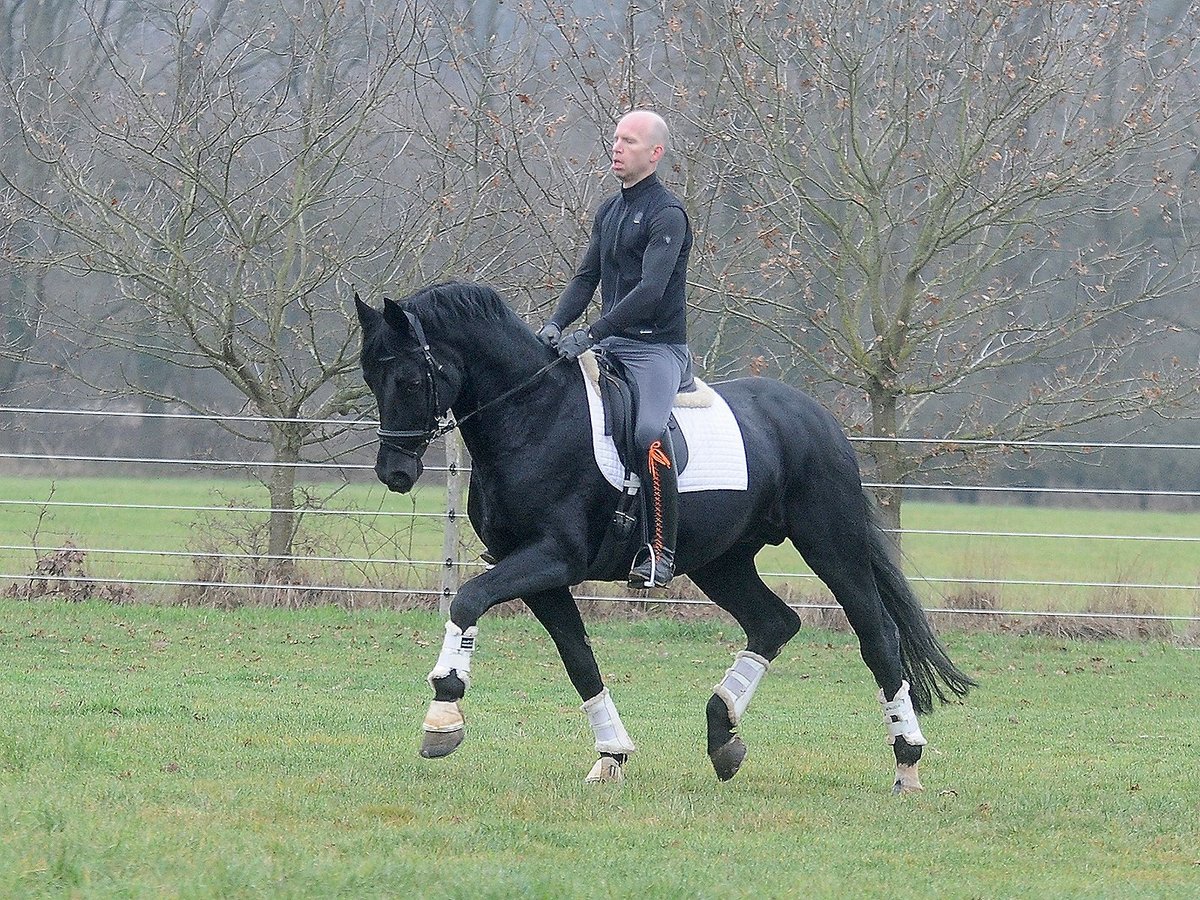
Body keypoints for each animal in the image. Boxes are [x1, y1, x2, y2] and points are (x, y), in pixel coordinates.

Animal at [355, 281, 974, 793]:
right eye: (370, 378)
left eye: (408, 379)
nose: (394, 473)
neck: (532, 415)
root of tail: (818, 418)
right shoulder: (536, 572)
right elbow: (578, 659)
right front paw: (611, 754)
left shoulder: (554, 557)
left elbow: (467, 599)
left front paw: (443, 713)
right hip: (721, 562)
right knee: (774, 622)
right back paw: (723, 733)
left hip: (831, 545)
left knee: (879, 636)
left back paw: (907, 759)